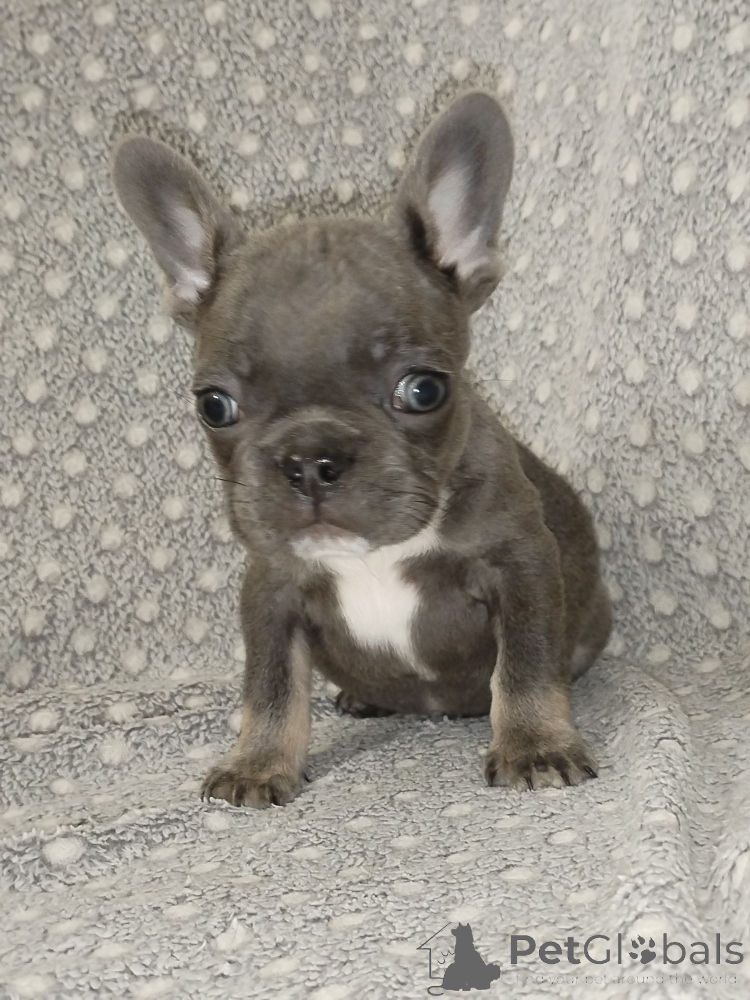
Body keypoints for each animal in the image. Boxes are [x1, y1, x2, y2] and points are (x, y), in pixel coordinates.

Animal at [112, 90, 612, 808]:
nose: (310, 461)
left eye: (424, 389)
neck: (377, 551)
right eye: (214, 405)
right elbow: (270, 688)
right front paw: (259, 762)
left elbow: (526, 665)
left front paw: (536, 744)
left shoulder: (520, 565)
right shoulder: (272, 591)